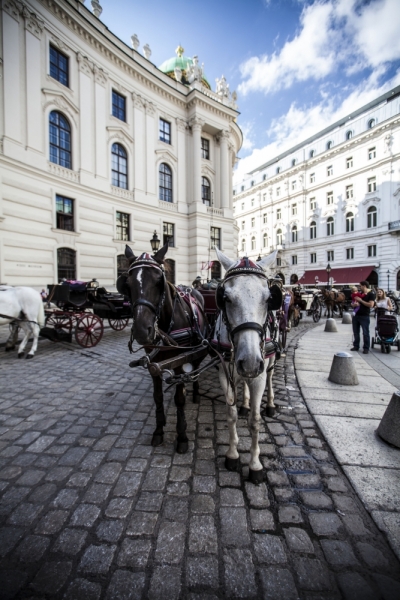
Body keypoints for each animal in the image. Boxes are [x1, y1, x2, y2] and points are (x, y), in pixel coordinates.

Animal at [117, 241, 208, 452]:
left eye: (159, 281)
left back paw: (195, 392)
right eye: (128, 284)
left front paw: (182, 436)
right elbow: (157, 397)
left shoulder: (181, 362)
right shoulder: (155, 365)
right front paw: (159, 430)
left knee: (197, 367)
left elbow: (179, 399)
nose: (142, 331)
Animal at [214, 246, 276, 486]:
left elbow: (255, 422)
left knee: (270, 377)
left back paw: (270, 404)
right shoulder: (225, 373)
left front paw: (255, 464)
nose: (249, 362)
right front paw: (232, 454)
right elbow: (231, 414)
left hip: (269, 361)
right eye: (226, 298)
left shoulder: (258, 374)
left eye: (269, 298)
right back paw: (246, 403)